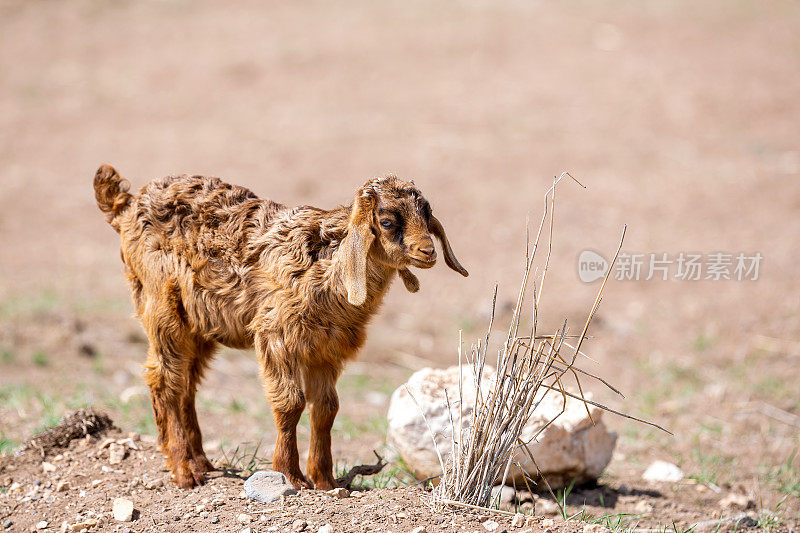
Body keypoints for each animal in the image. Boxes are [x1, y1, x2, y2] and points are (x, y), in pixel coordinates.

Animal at [95, 164, 468, 488]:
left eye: (427, 214)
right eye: (388, 221)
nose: (428, 251)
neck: (328, 268)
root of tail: (125, 206)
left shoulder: (326, 349)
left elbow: (326, 409)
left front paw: (325, 480)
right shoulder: (276, 335)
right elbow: (290, 403)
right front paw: (290, 475)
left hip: (199, 325)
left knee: (186, 383)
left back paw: (202, 461)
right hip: (161, 306)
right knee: (164, 380)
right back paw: (184, 471)